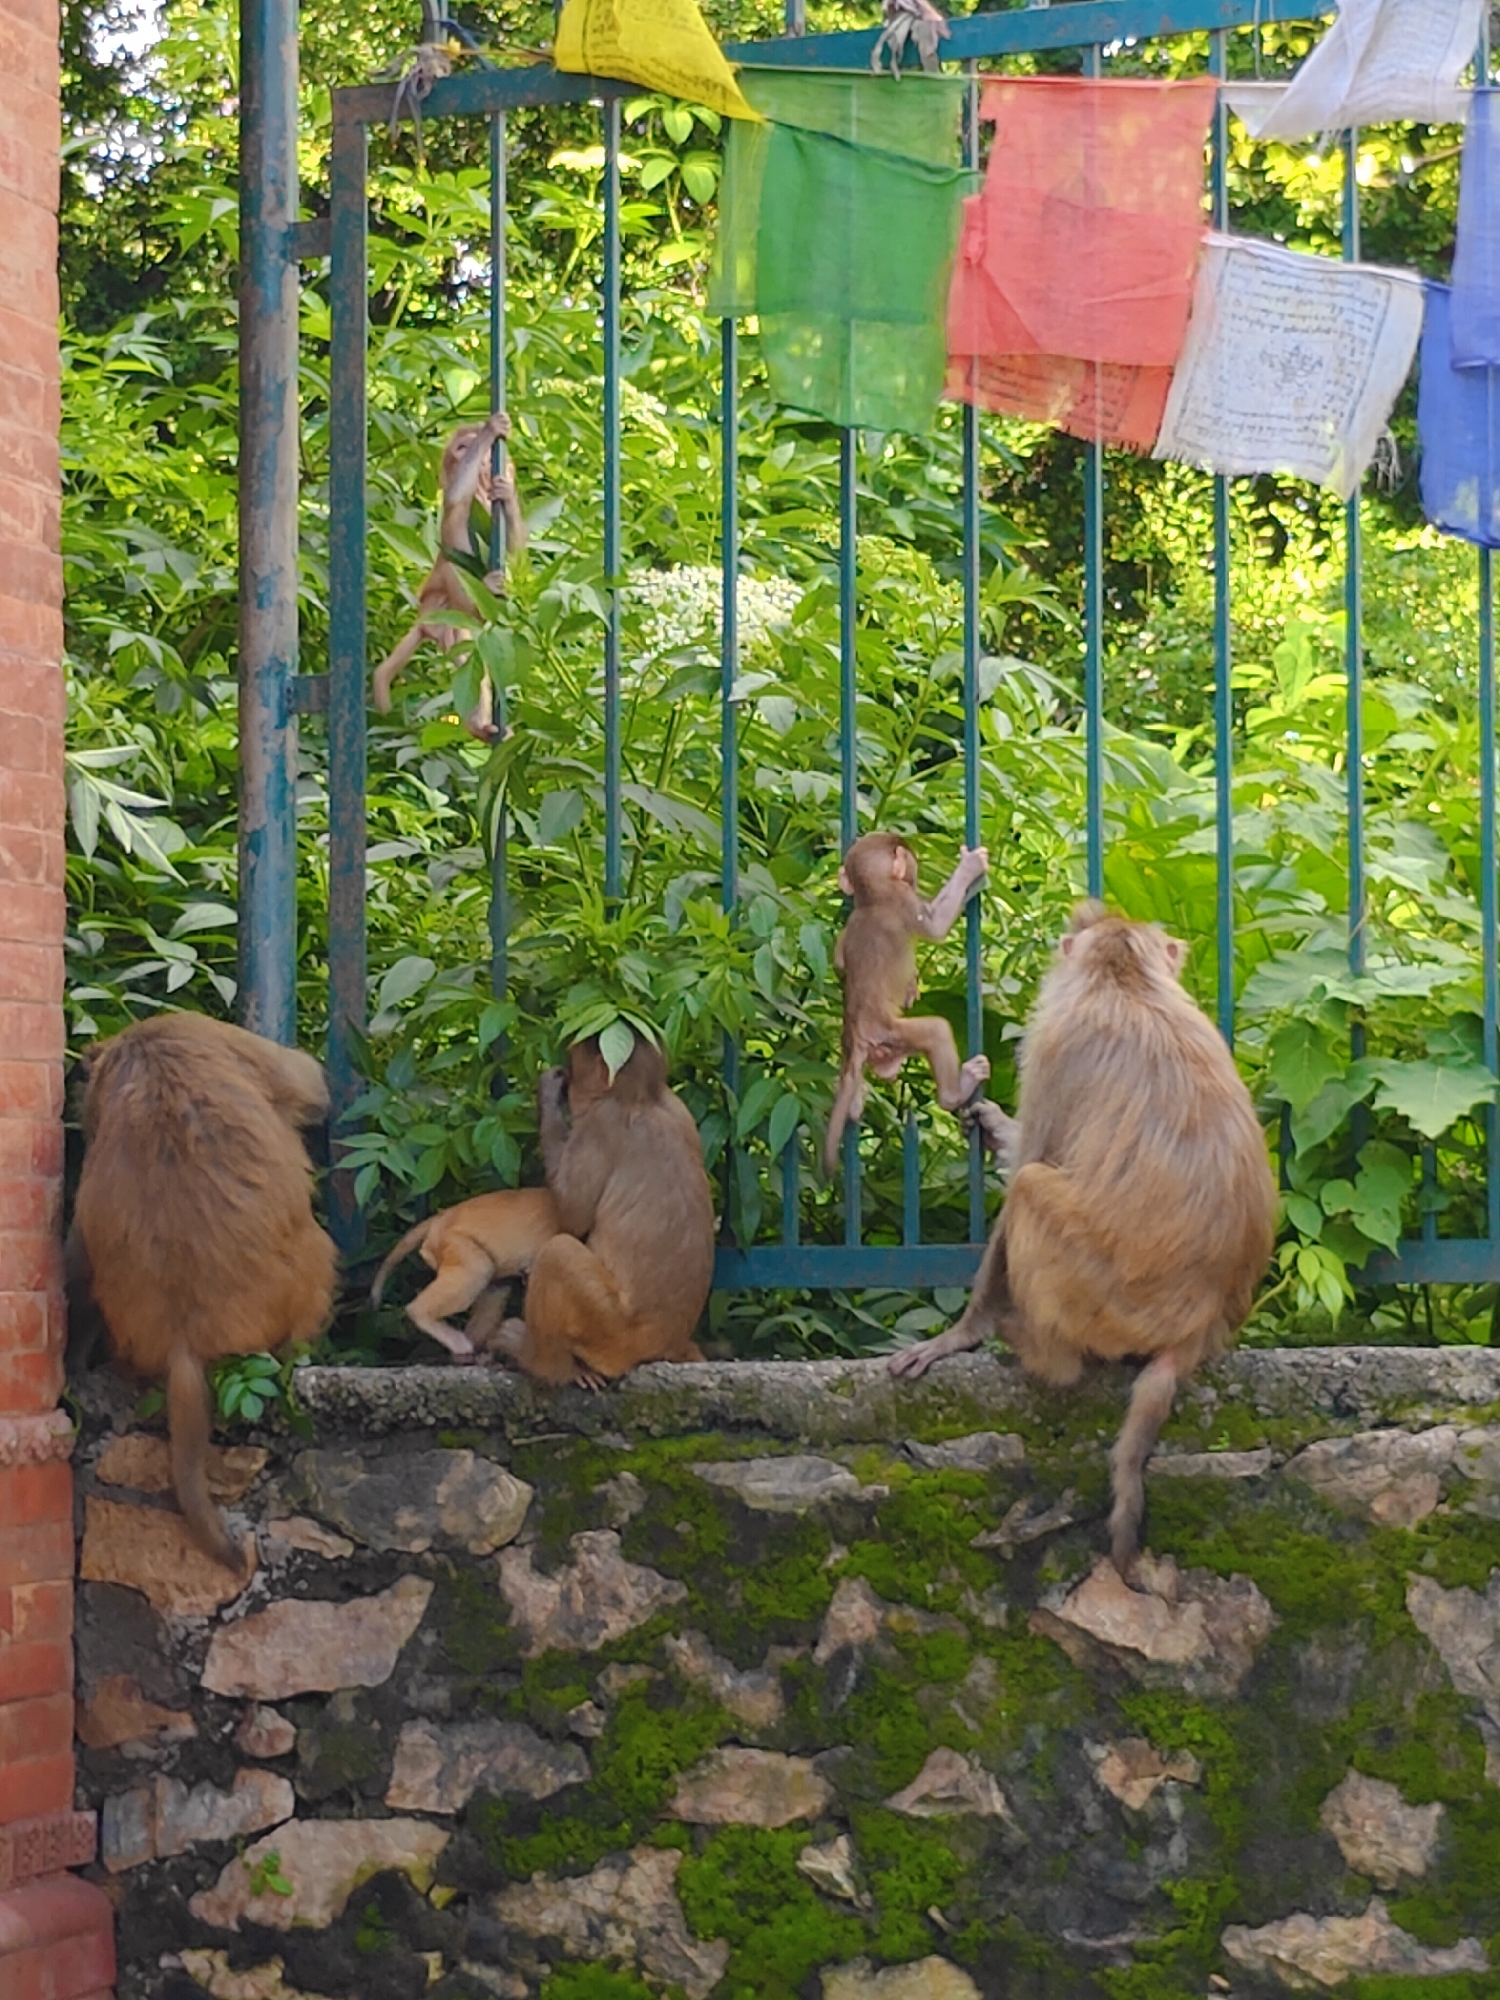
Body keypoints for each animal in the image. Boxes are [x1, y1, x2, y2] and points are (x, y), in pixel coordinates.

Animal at [372, 410, 527, 743]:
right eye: (462, 448)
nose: (478, 457)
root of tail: (425, 621)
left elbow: (517, 557)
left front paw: (507, 494)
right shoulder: (457, 493)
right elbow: (456, 497)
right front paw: (492, 427)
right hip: (444, 615)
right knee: (450, 573)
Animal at [490, 1034, 715, 1390]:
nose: (565, 1075)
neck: (644, 1099)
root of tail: (664, 1345)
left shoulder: (600, 1121)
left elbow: (572, 1214)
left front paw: (548, 1094)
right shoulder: (681, 1110)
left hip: (608, 1328)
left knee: (558, 1252)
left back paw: (543, 1363)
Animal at [823, 831, 993, 1177]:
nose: (914, 870)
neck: (873, 896)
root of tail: (859, 1036)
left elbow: (839, 965)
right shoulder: (903, 900)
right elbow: (935, 925)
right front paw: (970, 866)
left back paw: (856, 1100)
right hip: (893, 1031)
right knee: (937, 1030)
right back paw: (956, 1092)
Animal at [888, 903, 1277, 1582]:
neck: (1127, 982)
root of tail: (1199, 1325)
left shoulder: (1053, 1044)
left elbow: (1031, 1163)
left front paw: (960, 1335)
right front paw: (991, 1122)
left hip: (1101, 1297)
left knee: (1033, 1191)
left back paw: (1040, 1352)